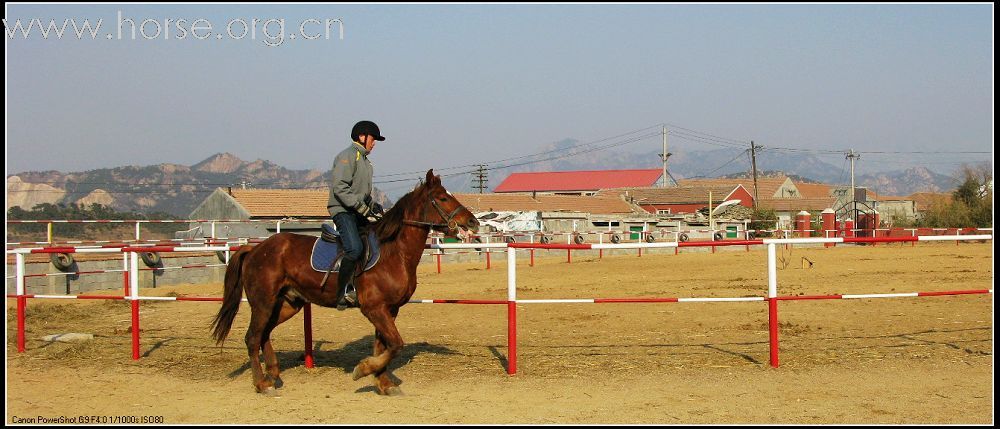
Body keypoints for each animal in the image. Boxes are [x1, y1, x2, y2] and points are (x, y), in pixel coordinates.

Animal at [212, 168, 480, 394]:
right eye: (442, 198)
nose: (473, 222)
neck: (394, 252)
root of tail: (255, 249)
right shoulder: (374, 308)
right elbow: (396, 344)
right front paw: (364, 370)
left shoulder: (389, 310)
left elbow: (383, 346)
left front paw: (382, 382)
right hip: (263, 303)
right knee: (252, 338)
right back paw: (261, 383)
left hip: (287, 304)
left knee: (264, 334)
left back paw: (272, 376)